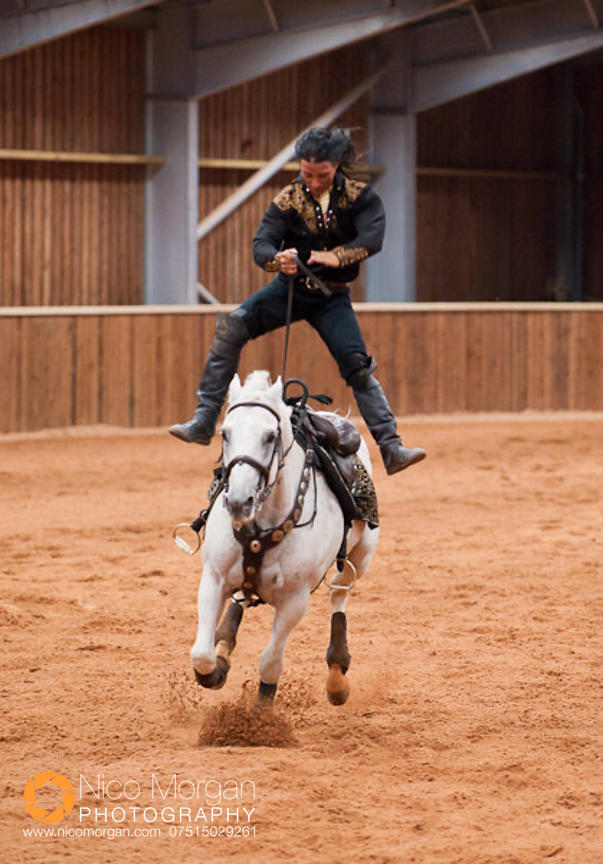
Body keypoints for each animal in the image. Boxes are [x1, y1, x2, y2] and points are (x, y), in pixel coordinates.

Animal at [189, 370, 379, 705]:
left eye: (269, 436)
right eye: (224, 433)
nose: (239, 500)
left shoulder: (295, 600)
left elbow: (270, 662)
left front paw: (260, 712)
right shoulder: (213, 578)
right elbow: (202, 655)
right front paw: (217, 668)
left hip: (361, 555)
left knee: (339, 593)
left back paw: (337, 675)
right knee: (237, 604)